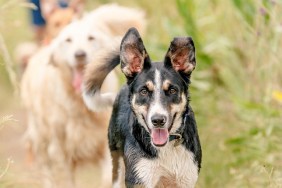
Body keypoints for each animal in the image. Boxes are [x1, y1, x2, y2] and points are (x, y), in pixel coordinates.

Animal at [82, 27, 202, 187]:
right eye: (144, 91)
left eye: (172, 90)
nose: (158, 120)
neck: (165, 148)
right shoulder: (140, 177)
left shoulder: (186, 178)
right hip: (117, 162)